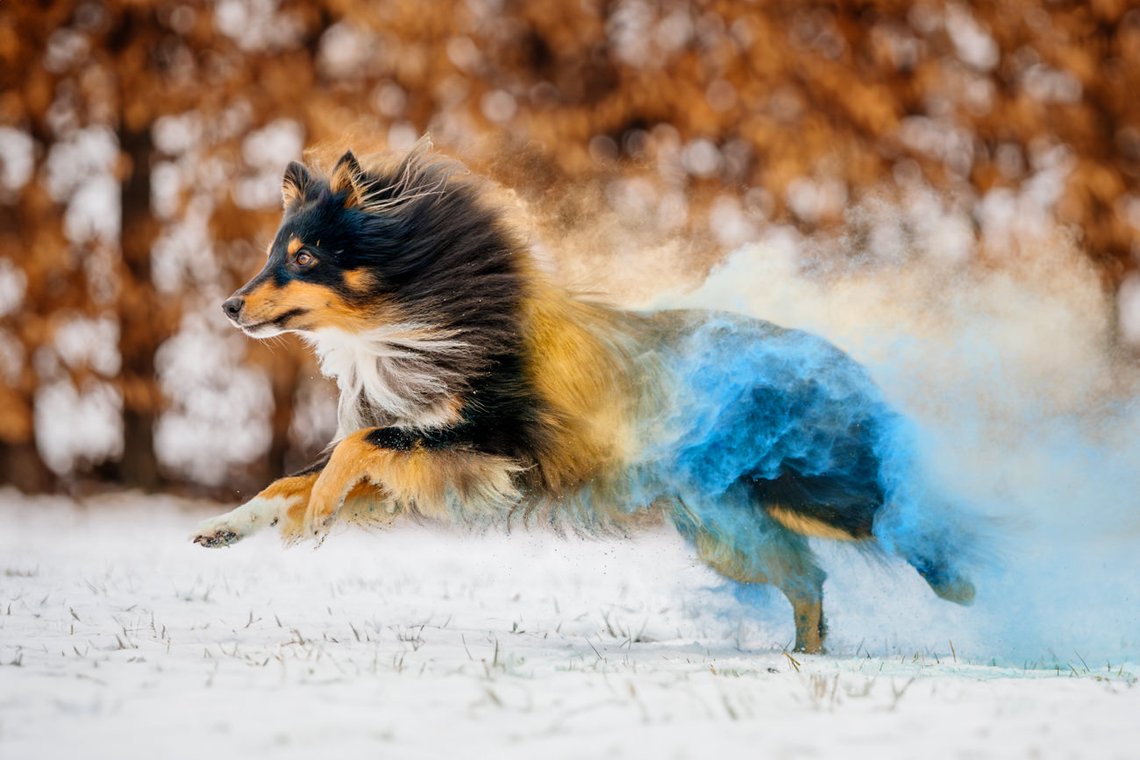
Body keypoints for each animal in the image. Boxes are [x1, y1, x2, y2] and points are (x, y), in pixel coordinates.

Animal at [191, 139, 975, 651]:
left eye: (304, 258)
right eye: (272, 253)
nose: (227, 306)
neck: (422, 316)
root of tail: (840, 362)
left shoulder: (491, 440)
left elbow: (356, 446)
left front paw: (316, 518)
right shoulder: (431, 459)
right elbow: (300, 475)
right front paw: (228, 528)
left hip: (810, 492)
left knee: (906, 523)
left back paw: (977, 587)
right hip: (724, 527)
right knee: (808, 578)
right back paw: (803, 660)